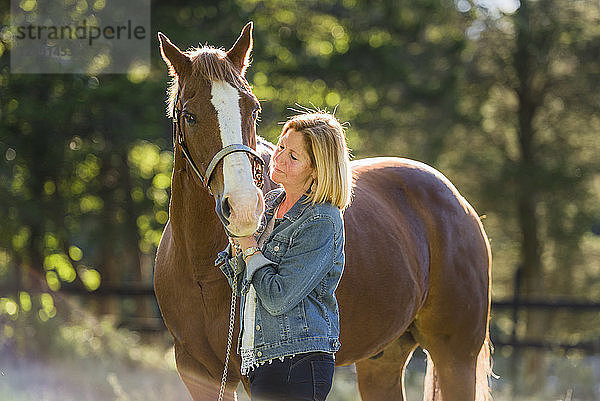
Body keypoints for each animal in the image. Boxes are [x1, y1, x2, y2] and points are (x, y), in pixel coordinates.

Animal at [155, 22, 492, 400]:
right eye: (189, 116)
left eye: (252, 109)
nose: (243, 208)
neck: (200, 269)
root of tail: (459, 204)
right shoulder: (198, 372)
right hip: (382, 360)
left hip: (455, 358)